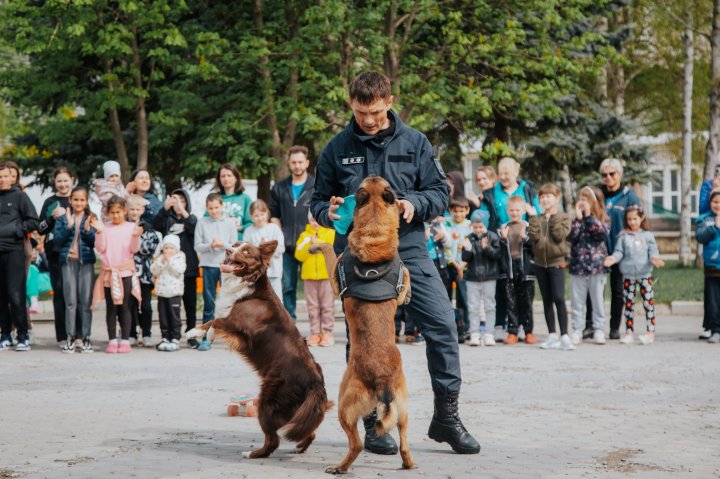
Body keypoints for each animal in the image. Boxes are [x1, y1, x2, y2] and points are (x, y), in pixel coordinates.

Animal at [184, 242, 334, 460]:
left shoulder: (242, 323)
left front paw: (210, 335)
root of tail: (316, 383)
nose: (228, 249)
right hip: (296, 410)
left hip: (268, 400)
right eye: (235, 245)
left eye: (246, 251)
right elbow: (212, 318)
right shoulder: (232, 316)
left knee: (273, 440)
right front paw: (193, 331)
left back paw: (252, 453)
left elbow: (218, 320)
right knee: (308, 431)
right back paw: (299, 447)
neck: (249, 284)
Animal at [310, 177, 416, 476]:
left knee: (355, 444)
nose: (371, 173)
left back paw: (340, 467)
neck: (375, 229)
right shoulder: (401, 277)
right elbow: (407, 275)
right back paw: (408, 463)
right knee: (404, 442)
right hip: (404, 410)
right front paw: (409, 291)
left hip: (344, 406)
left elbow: (327, 250)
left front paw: (315, 245)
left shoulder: (335, 277)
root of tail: (382, 381)